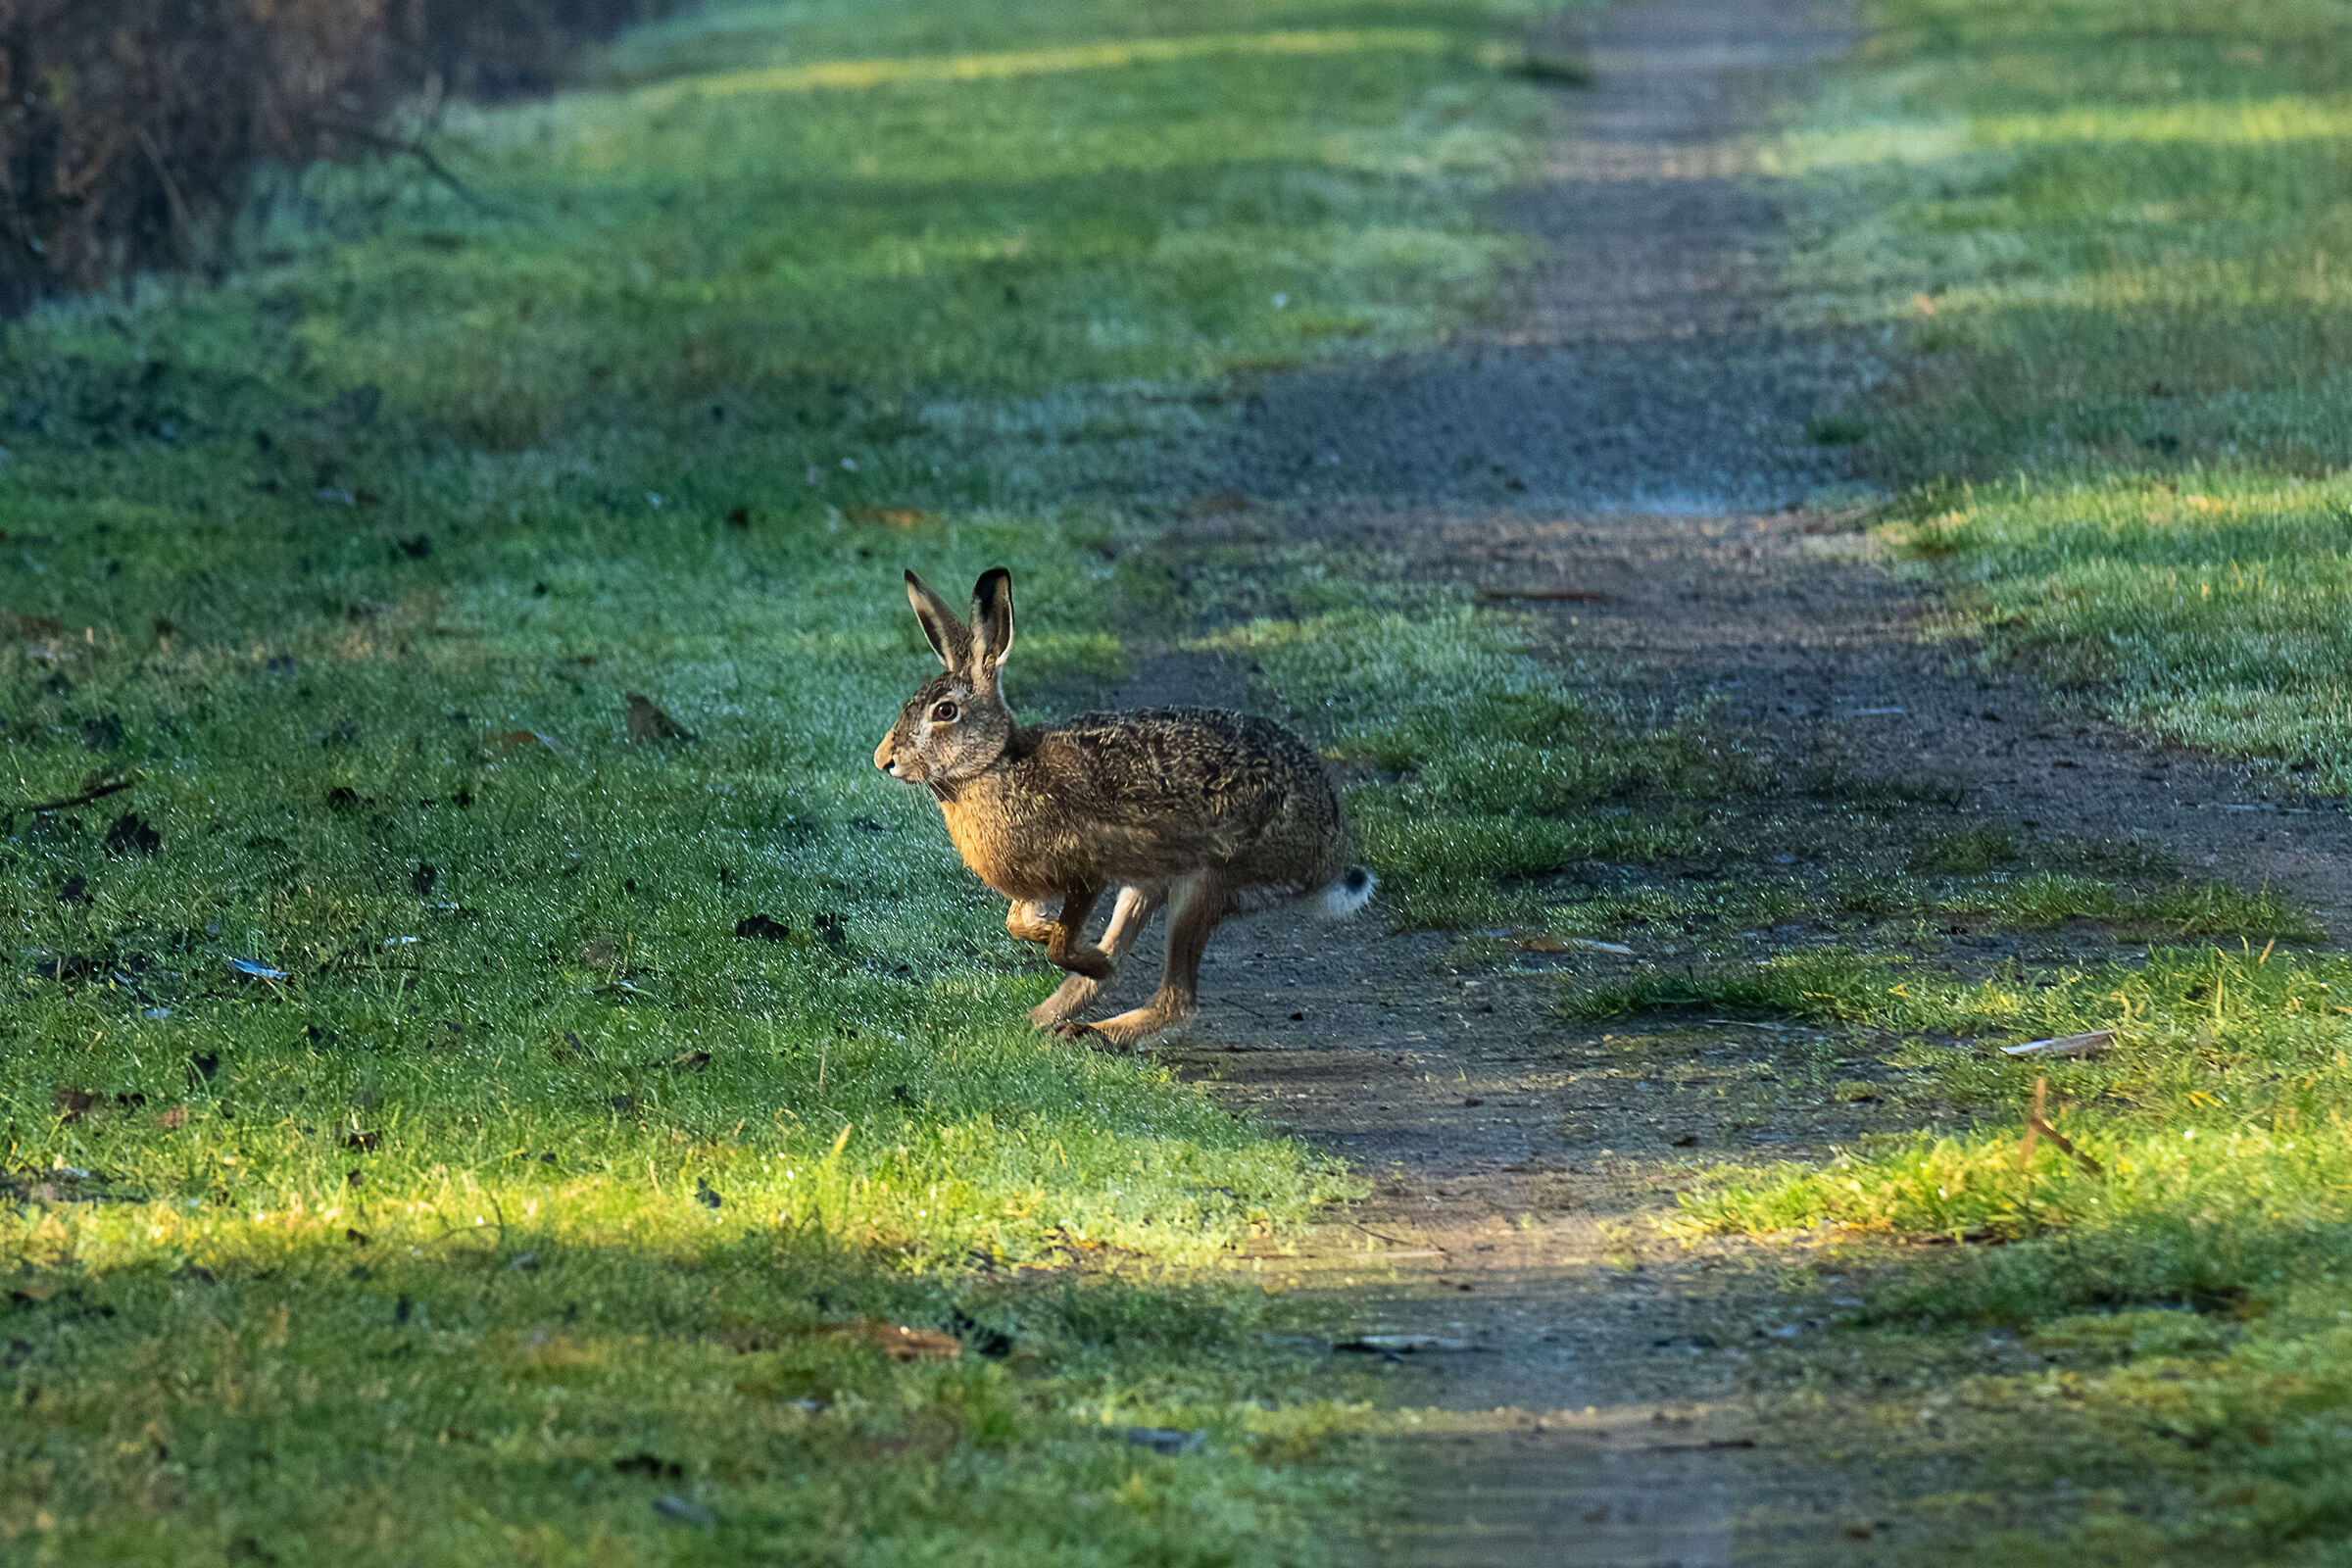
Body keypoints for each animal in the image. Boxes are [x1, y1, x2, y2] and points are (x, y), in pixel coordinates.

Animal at [873, 566, 1374, 1048]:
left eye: (945, 712)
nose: (884, 760)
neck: (998, 764)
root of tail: (1329, 851)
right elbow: (1018, 922)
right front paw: (1054, 934)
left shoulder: (1087, 871)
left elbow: (1059, 943)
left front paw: (1076, 949)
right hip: (1148, 885)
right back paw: (1045, 1018)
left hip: (1204, 883)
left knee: (1177, 999)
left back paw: (1093, 1028)